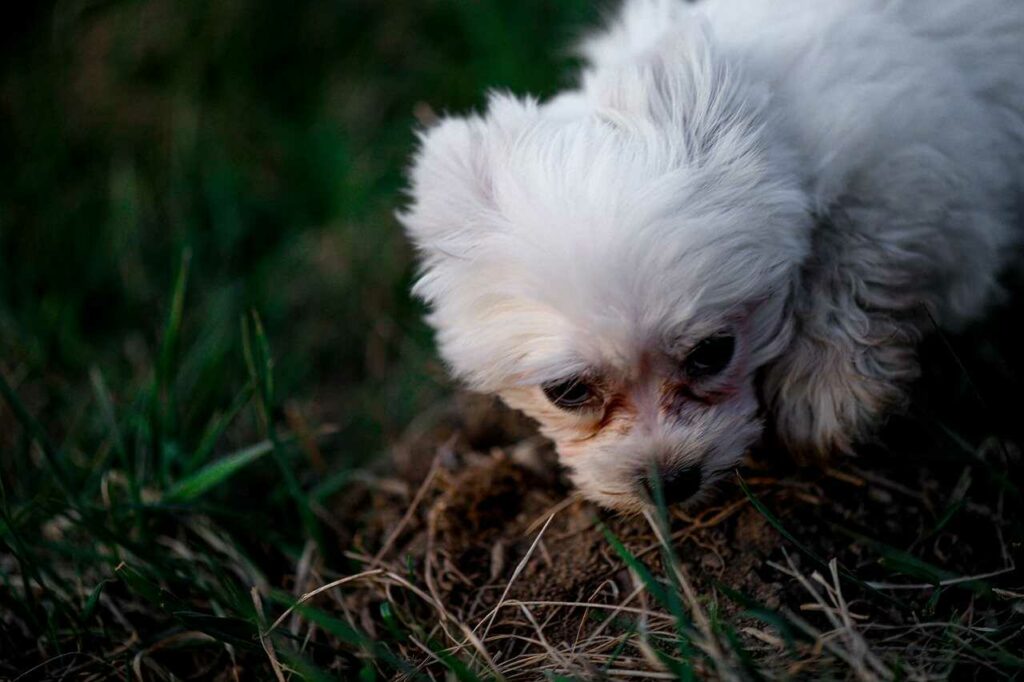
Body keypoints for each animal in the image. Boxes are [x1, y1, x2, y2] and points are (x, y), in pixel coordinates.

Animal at [397, 0, 1024, 509]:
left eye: (713, 352)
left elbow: (852, 252)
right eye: (568, 392)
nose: (669, 483)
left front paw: (826, 384)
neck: (763, 94)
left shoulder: (916, 165)